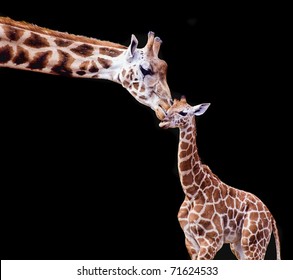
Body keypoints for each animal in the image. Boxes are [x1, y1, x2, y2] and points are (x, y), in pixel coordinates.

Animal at [160, 96, 280, 260]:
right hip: (238, 245)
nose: (163, 121)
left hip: (253, 243)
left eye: (183, 112)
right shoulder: (190, 243)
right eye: (169, 109)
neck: (192, 192)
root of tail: (271, 218)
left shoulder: (211, 241)